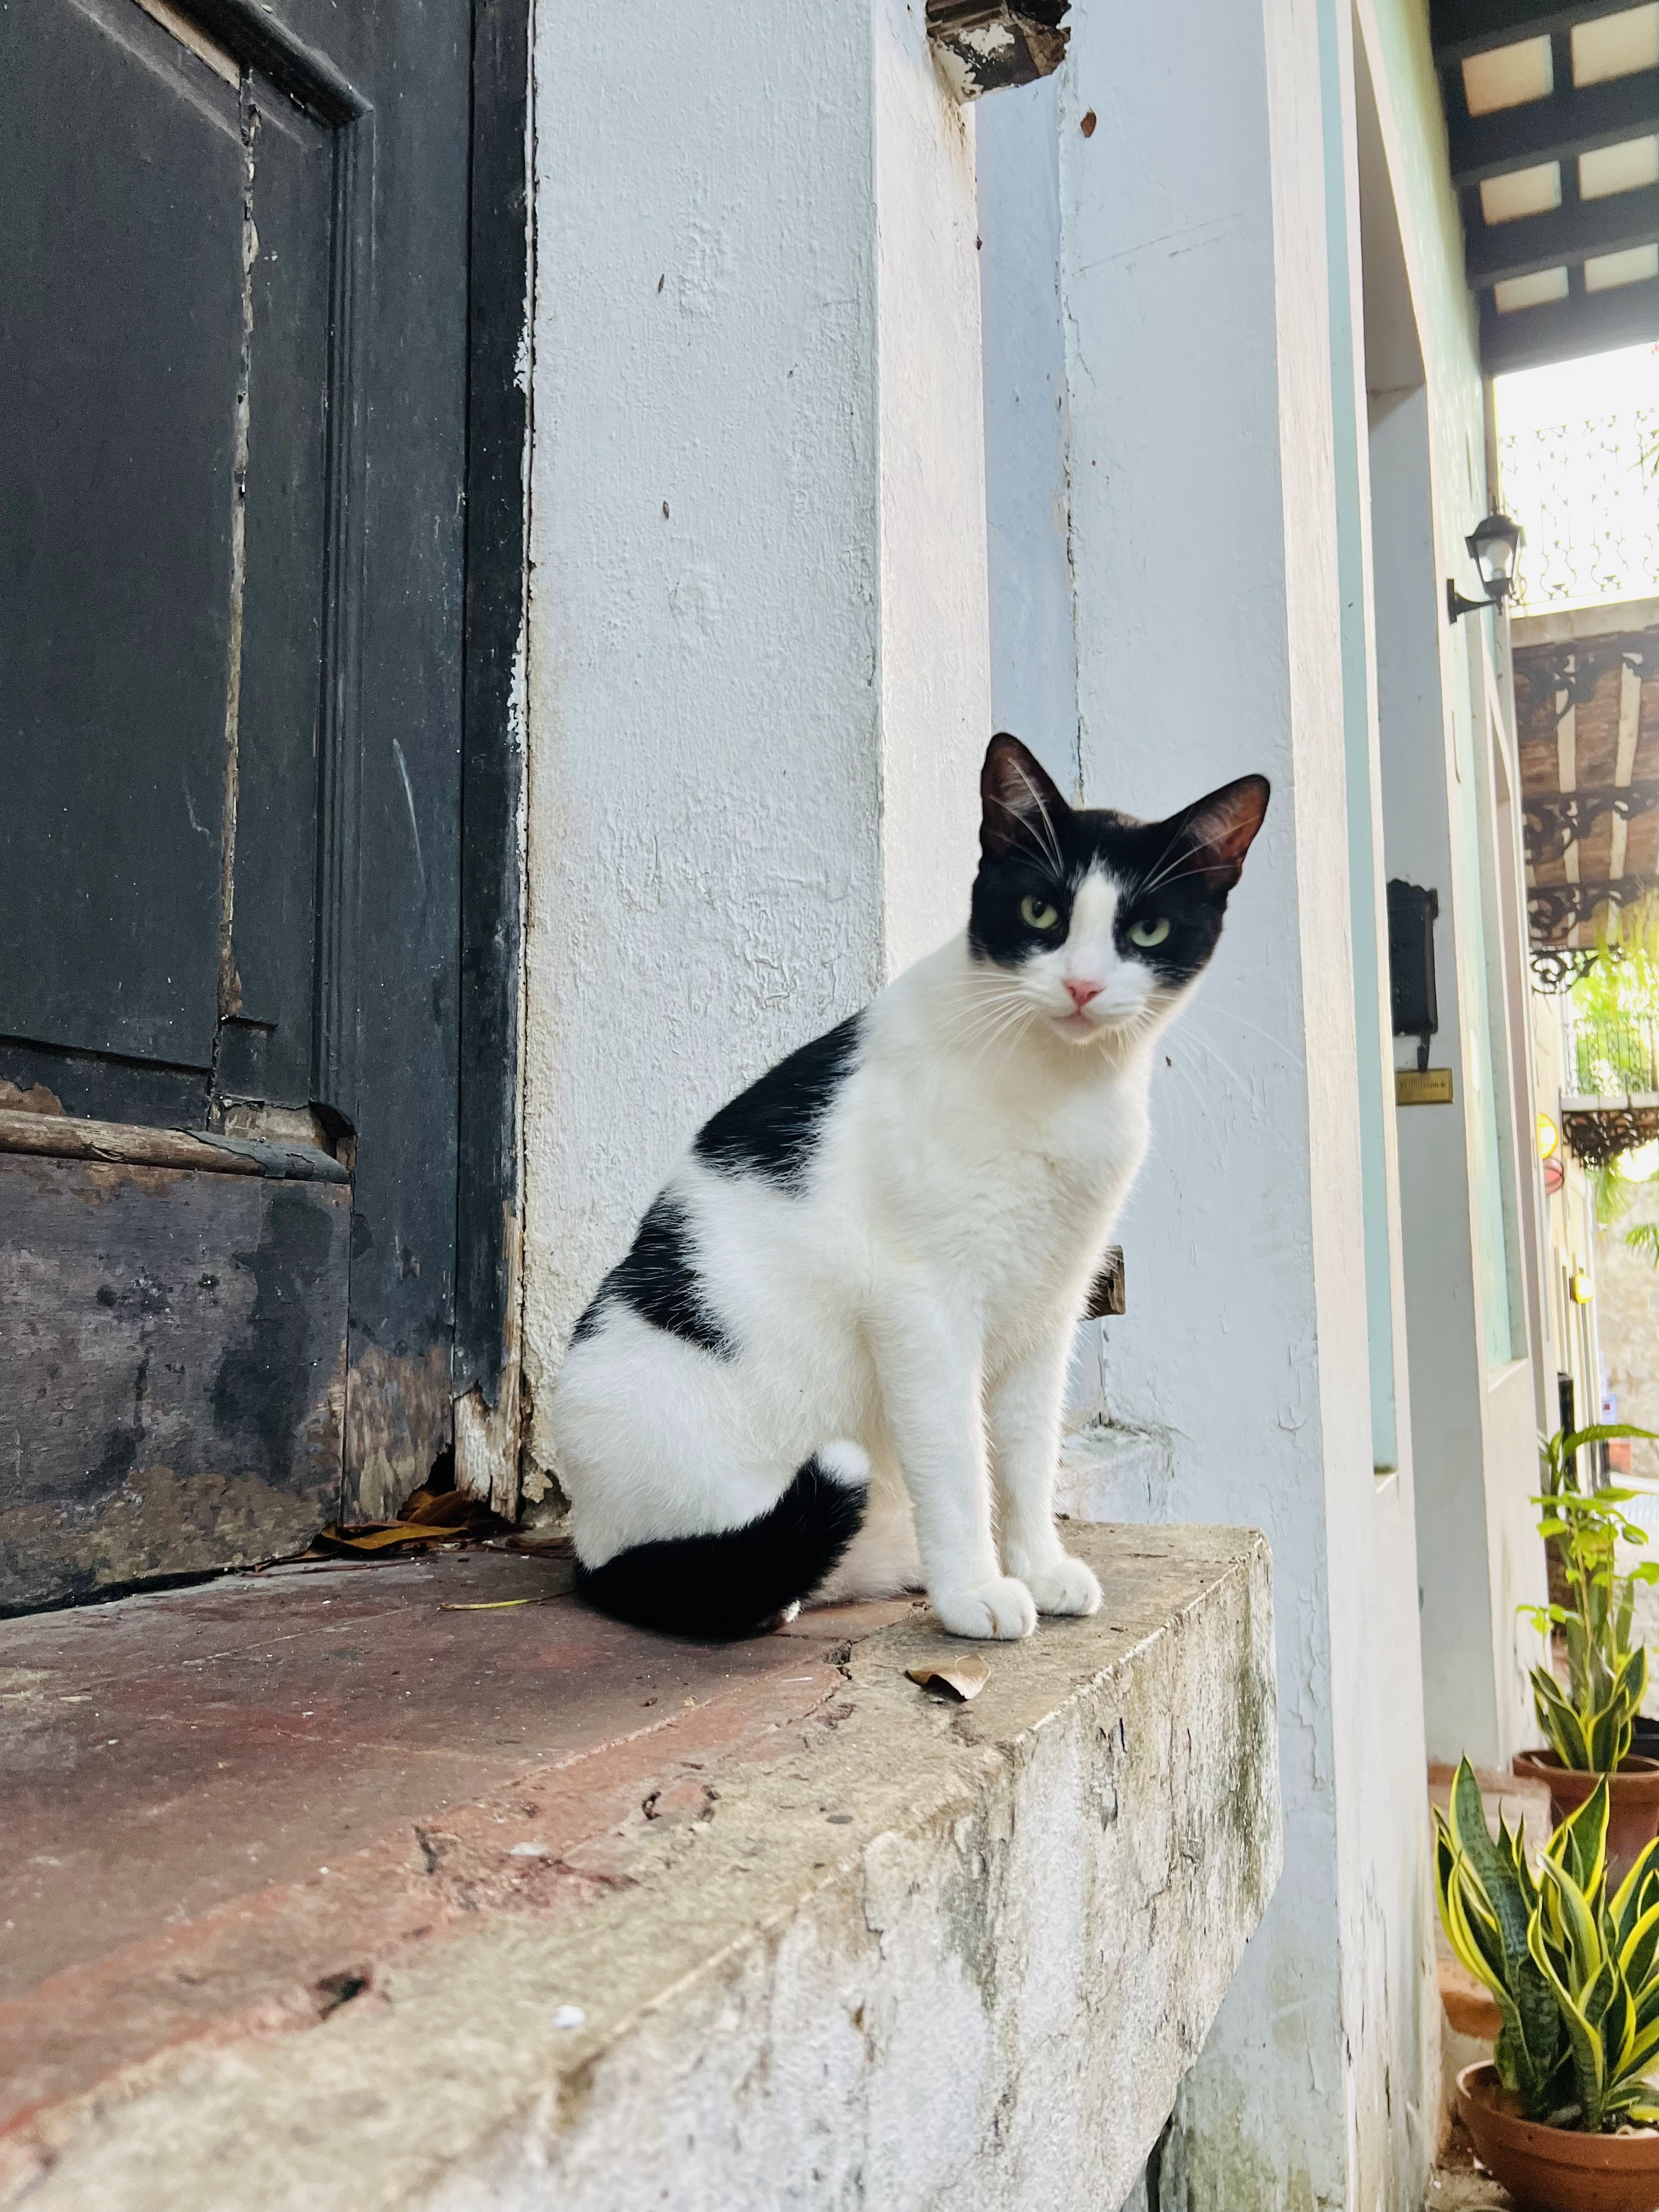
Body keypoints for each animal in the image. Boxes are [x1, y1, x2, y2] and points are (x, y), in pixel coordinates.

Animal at [553, 738, 1265, 1645]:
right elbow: (959, 1462)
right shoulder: (922, 1305)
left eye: (1146, 929)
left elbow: (1027, 1456)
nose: (1081, 986)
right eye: (1040, 912)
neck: (1061, 1084)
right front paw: (976, 1592)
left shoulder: (1050, 1304)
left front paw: (1036, 1567)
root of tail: (587, 1538)